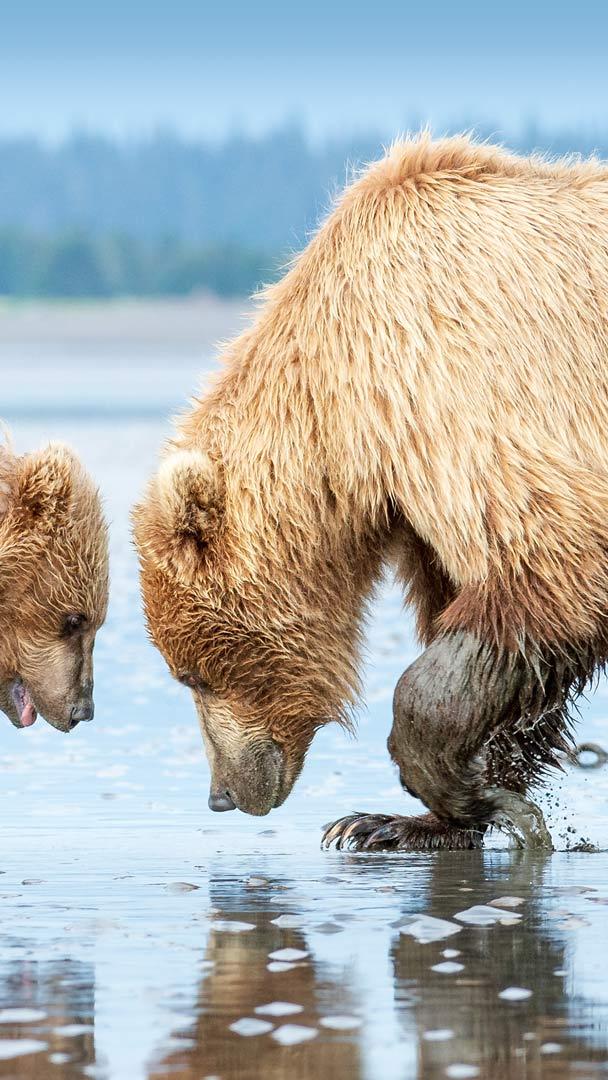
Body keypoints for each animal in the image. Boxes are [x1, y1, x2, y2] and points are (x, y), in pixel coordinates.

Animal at [135, 130, 608, 846]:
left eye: (192, 674)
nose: (222, 795)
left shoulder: (465, 381)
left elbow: (545, 566)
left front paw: (470, 798)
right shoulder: (416, 495)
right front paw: (419, 818)